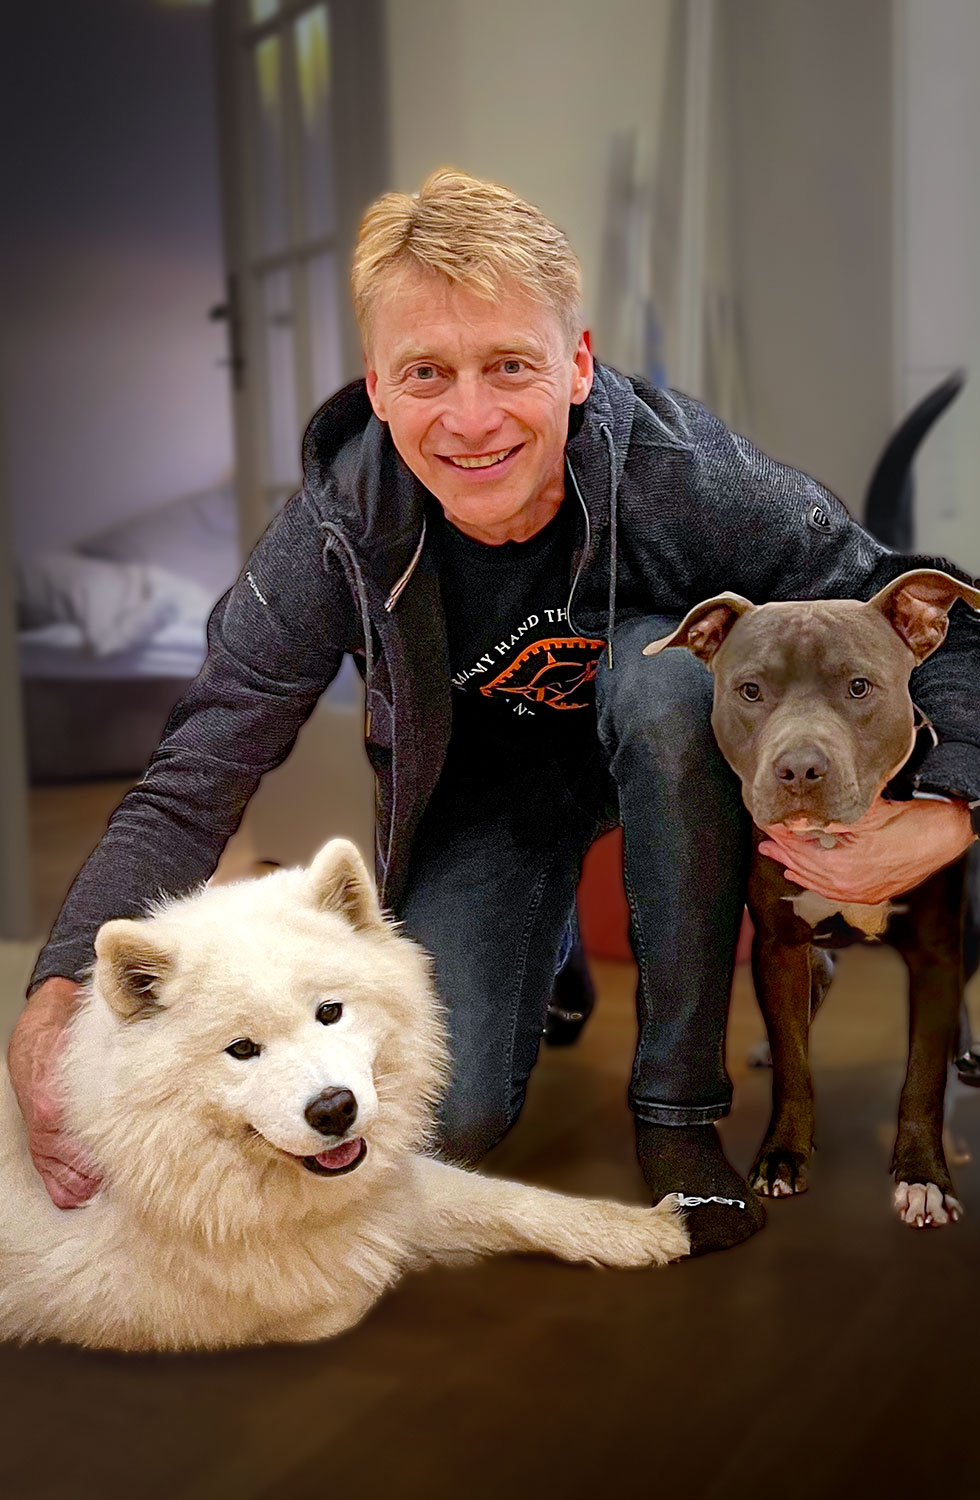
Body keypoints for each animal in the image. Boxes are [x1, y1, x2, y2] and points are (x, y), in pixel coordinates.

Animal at [0, 840, 687, 1351]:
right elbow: (343, 1292)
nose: (335, 1109)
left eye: (329, 1012)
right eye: (241, 1049)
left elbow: (510, 1201)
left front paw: (638, 1231)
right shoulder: (128, 1302)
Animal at [644, 569, 980, 1228]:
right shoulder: (778, 947)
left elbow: (923, 1076)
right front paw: (783, 1154)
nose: (799, 769)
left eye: (859, 687)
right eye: (750, 690)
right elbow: (795, 1062)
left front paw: (924, 1177)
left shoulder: (936, 955)